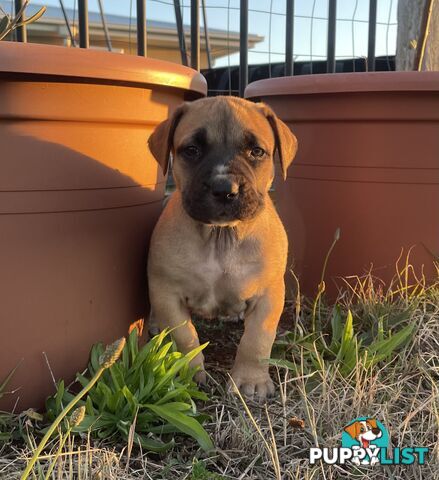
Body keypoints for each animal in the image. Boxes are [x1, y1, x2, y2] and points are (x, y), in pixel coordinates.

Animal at [146, 95, 298, 400]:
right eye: (191, 150)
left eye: (257, 151)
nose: (225, 188)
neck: (221, 235)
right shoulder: (167, 293)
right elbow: (185, 337)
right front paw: (188, 374)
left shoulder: (269, 295)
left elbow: (257, 339)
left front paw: (251, 381)